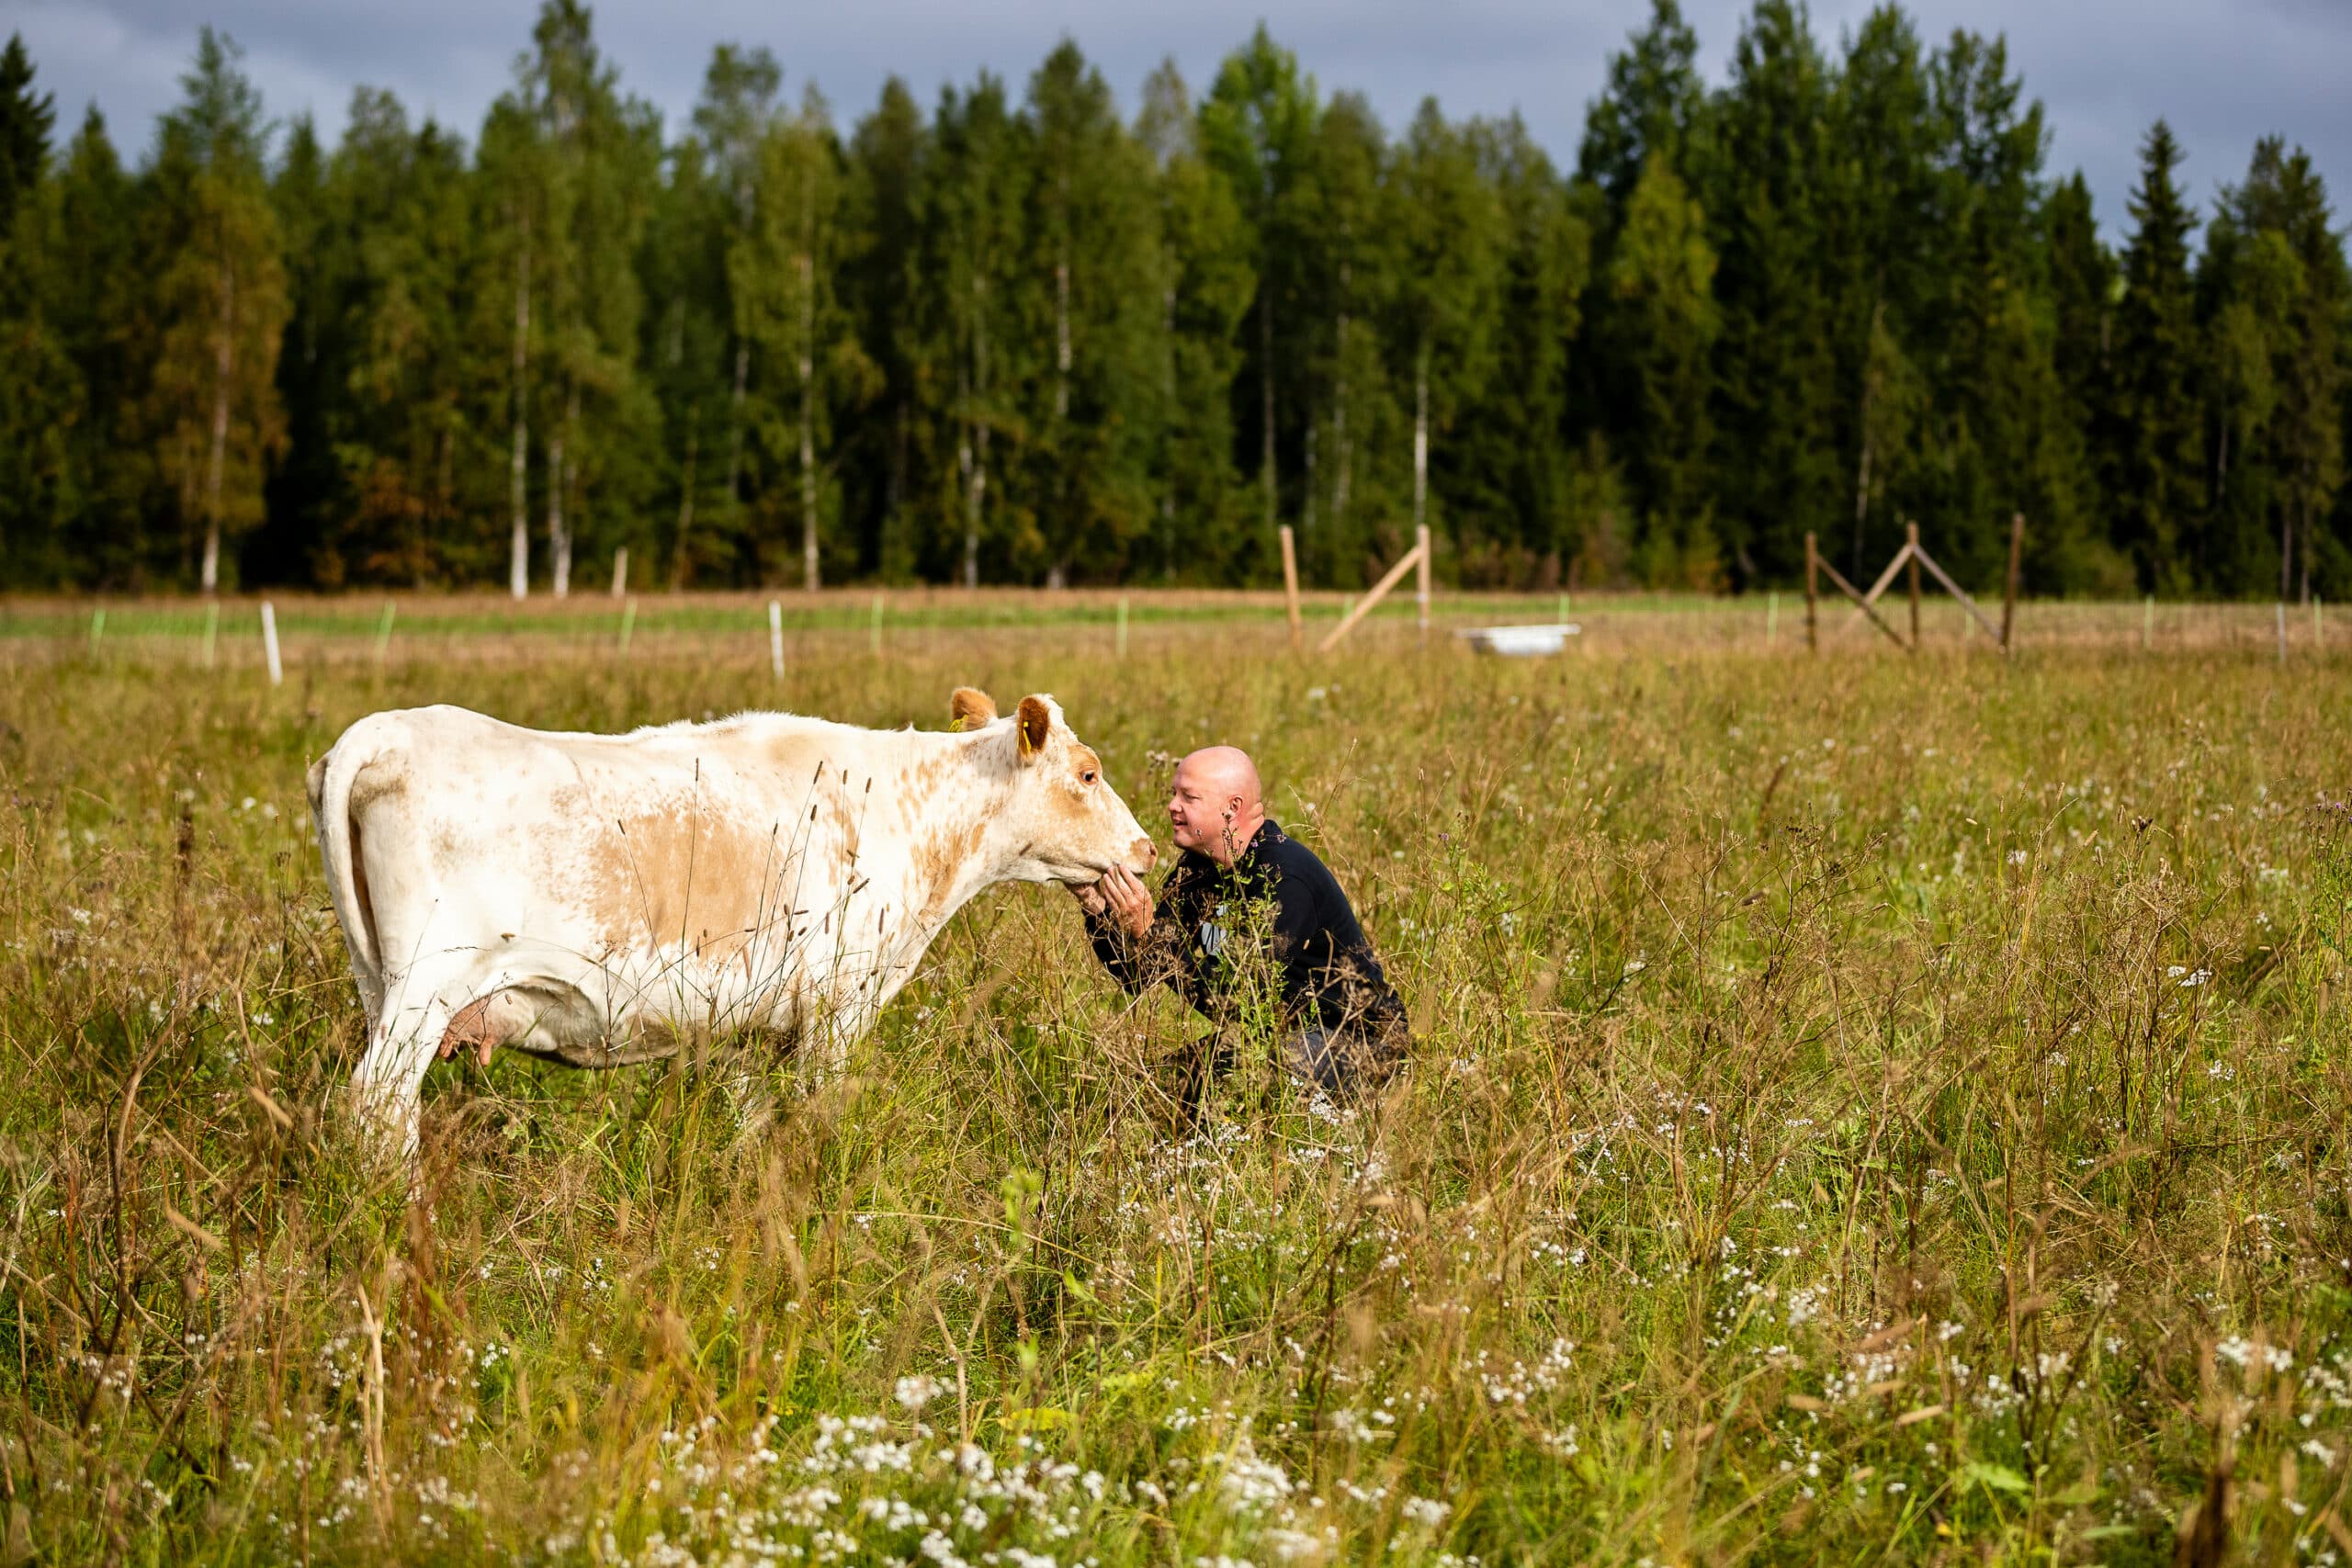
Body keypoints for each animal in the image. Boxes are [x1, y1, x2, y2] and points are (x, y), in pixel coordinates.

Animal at [308, 691, 1152, 1166]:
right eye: (1086, 773)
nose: (1146, 848)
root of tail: (383, 731)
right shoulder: (837, 1006)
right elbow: (816, 1118)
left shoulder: (744, 1022)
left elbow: (751, 1123)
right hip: (425, 987)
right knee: (377, 1105)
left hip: (382, 985)